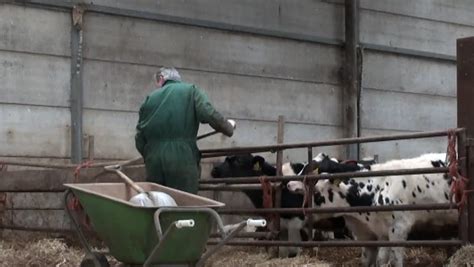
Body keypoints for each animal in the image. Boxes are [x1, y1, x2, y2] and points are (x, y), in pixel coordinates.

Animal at [286, 154, 458, 266]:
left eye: (312, 171)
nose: (288, 184)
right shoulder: (377, 232)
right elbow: (376, 260)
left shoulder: (399, 228)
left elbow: (395, 261)